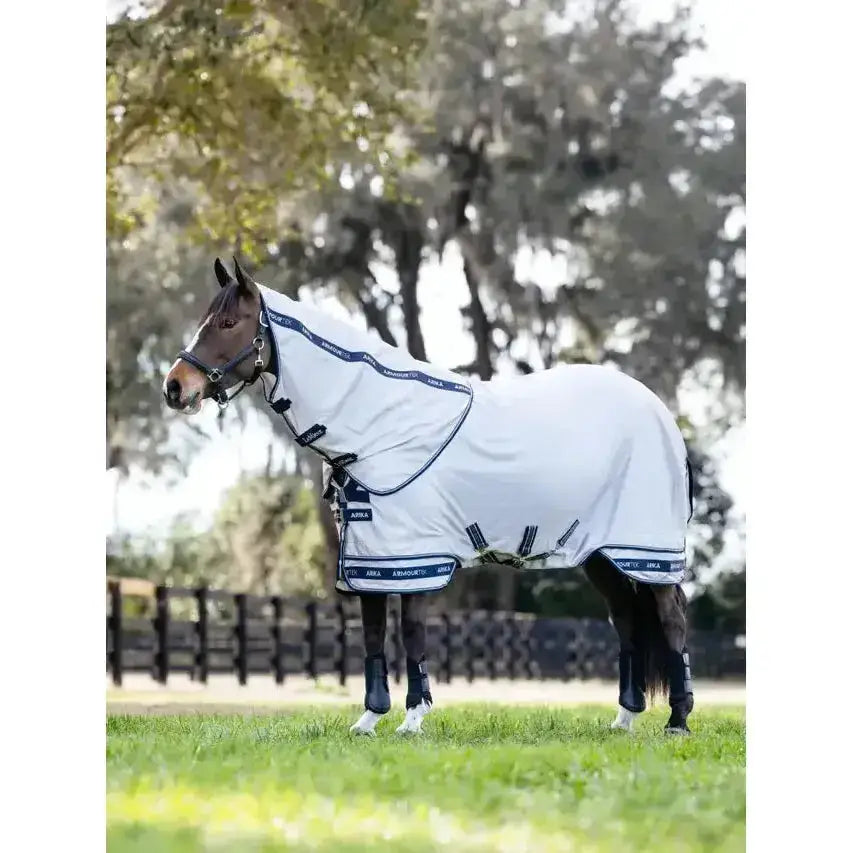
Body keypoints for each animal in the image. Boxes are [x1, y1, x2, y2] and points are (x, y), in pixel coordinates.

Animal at [164, 258, 695, 735]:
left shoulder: (417, 557)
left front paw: (412, 720)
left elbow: (412, 636)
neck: (382, 425)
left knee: (671, 621)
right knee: (626, 621)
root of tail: (660, 413)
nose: (174, 387)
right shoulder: (369, 560)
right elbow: (373, 637)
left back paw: (678, 721)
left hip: (647, 552)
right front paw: (369, 720)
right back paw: (624, 720)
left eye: (228, 322)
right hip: (604, 557)